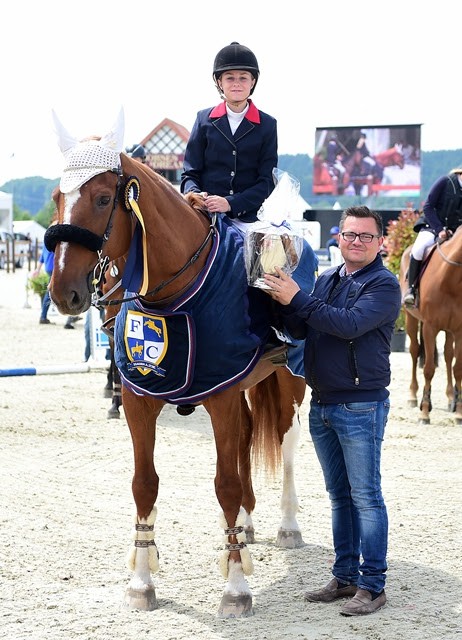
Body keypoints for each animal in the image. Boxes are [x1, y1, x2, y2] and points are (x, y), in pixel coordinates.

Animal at [46, 111, 314, 620]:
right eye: (56, 197)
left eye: (104, 198)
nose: (63, 292)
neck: (174, 291)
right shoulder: (141, 399)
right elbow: (144, 484)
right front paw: (141, 581)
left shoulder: (222, 398)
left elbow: (225, 483)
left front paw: (235, 589)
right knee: (247, 442)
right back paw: (245, 527)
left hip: (290, 379)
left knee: (287, 446)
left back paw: (288, 526)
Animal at [398, 242, 460, 422]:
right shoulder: (430, 327)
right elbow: (429, 369)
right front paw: (424, 411)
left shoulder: (458, 329)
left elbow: (457, 368)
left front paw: (459, 412)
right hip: (411, 318)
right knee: (414, 351)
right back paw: (412, 396)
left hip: (448, 330)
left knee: (448, 355)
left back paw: (450, 398)